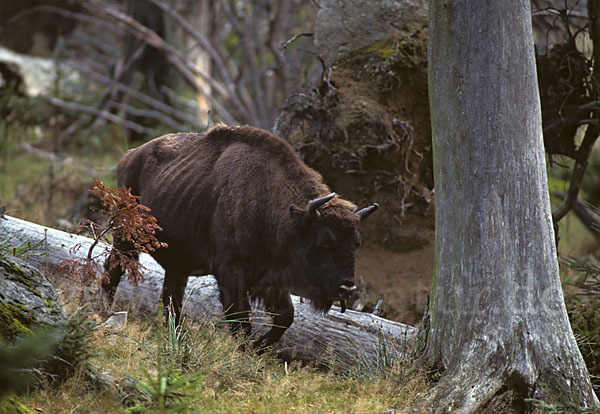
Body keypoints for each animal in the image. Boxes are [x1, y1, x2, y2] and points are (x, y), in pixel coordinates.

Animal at [101, 125, 378, 346]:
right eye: (324, 241)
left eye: (356, 243)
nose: (347, 286)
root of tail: (128, 157)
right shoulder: (231, 273)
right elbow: (241, 320)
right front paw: (245, 351)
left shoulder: (271, 281)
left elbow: (285, 317)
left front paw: (258, 348)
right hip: (125, 238)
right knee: (113, 270)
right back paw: (103, 314)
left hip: (176, 263)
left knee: (171, 298)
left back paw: (176, 336)